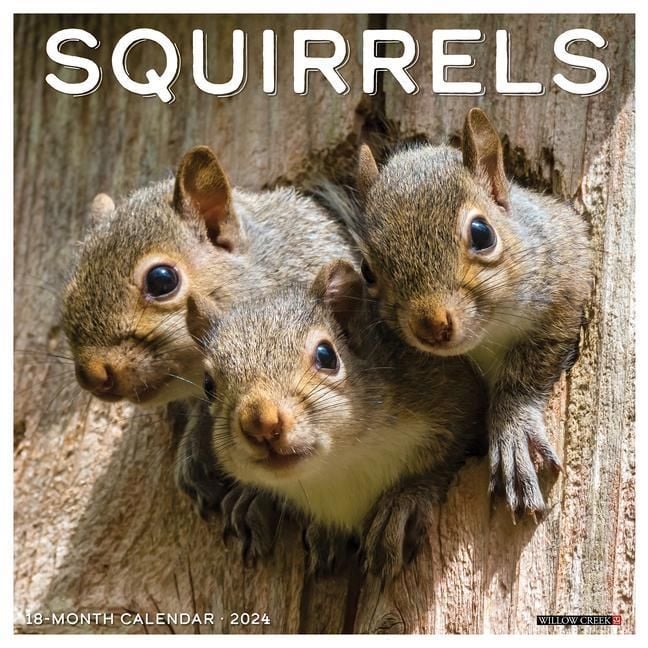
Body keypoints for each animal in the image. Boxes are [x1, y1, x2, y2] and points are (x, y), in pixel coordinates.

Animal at [184, 259, 486, 579]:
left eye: (326, 355)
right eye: (208, 385)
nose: (260, 423)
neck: (339, 467)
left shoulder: (451, 393)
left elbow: (448, 454)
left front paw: (403, 502)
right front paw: (320, 532)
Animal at [341, 107, 592, 517]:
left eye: (482, 233)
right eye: (368, 270)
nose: (431, 325)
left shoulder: (568, 275)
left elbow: (530, 367)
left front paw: (512, 432)